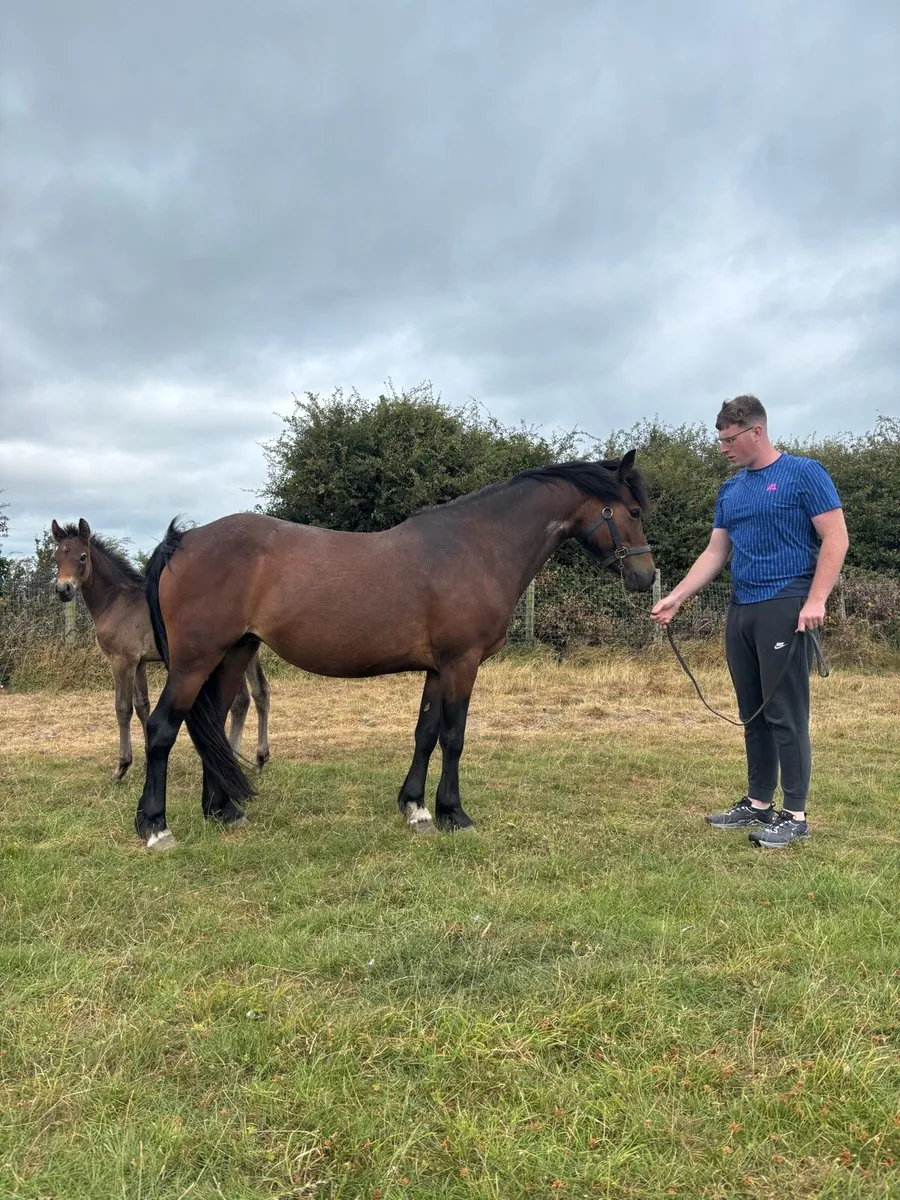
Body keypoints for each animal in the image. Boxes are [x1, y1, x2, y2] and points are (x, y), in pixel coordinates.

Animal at [50, 519, 271, 780]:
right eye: (56, 557)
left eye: (83, 557)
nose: (63, 590)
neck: (116, 602)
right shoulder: (139, 663)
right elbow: (142, 705)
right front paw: (148, 756)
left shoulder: (122, 660)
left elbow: (123, 708)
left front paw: (121, 766)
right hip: (248, 651)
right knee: (260, 693)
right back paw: (259, 758)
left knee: (241, 700)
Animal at [135, 454, 656, 851]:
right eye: (632, 511)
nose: (646, 577)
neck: (477, 547)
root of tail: (182, 541)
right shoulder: (462, 664)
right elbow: (454, 737)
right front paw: (454, 813)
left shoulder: (438, 669)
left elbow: (425, 734)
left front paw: (416, 808)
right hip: (194, 662)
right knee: (162, 729)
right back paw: (155, 827)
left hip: (233, 655)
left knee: (213, 724)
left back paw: (222, 810)